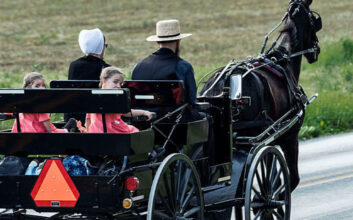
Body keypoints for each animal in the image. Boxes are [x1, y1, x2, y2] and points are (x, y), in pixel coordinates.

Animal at [199, 0, 320, 192]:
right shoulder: (288, 137)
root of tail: (220, 84)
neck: (284, 59)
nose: (317, 51)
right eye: (314, 21)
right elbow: (286, 179)